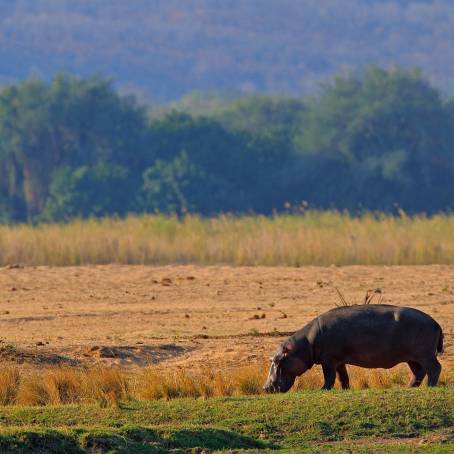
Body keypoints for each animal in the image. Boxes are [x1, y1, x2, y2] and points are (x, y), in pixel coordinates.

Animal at [262, 304, 444, 392]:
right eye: (272, 359)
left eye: (277, 361)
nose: (265, 388)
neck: (306, 343)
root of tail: (436, 322)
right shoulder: (338, 361)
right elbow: (343, 377)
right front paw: (345, 389)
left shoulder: (328, 361)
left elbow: (329, 377)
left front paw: (322, 389)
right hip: (412, 357)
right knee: (418, 372)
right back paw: (408, 387)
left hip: (425, 354)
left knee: (434, 368)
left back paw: (430, 386)